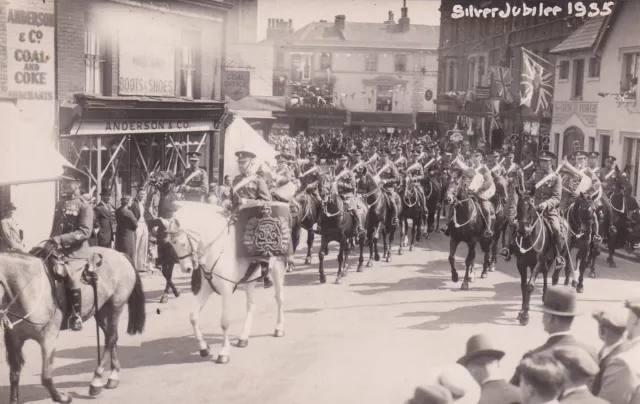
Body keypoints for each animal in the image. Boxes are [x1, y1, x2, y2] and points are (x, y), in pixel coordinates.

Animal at [1, 248, 145, 404]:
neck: (28, 288)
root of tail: (120, 254)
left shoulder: (48, 338)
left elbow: (46, 376)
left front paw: (62, 397)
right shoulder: (14, 339)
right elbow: (14, 374)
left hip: (115, 306)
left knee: (111, 339)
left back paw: (97, 381)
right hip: (101, 312)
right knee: (112, 338)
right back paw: (113, 376)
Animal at [148, 170, 182, 304]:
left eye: (165, 174)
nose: (151, 176)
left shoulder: (171, 257)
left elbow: (169, 274)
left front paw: (173, 293)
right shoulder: (162, 256)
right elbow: (165, 273)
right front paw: (171, 293)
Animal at [160, 202, 288, 362]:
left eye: (182, 243)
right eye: (172, 244)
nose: (186, 268)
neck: (215, 250)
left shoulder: (226, 291)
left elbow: (225, 322)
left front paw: (224, 352)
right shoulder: (207, 288)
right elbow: (193, 317)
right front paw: (203, 347)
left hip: (278, 270)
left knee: (279, 298)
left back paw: (279, 328)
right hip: (250, 279)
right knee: (251, 305)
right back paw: (243, 337)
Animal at [512, 188, 572, 326]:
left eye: (531, 206)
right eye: (518, 206)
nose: (522, 230)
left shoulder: (538, 262)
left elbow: (530, 286)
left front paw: (525, 315)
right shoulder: (521, 264)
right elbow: (523, 286)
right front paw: (521, 311)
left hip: (559, 255)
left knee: (554, 276)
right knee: (545, 273)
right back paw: (545, 296)